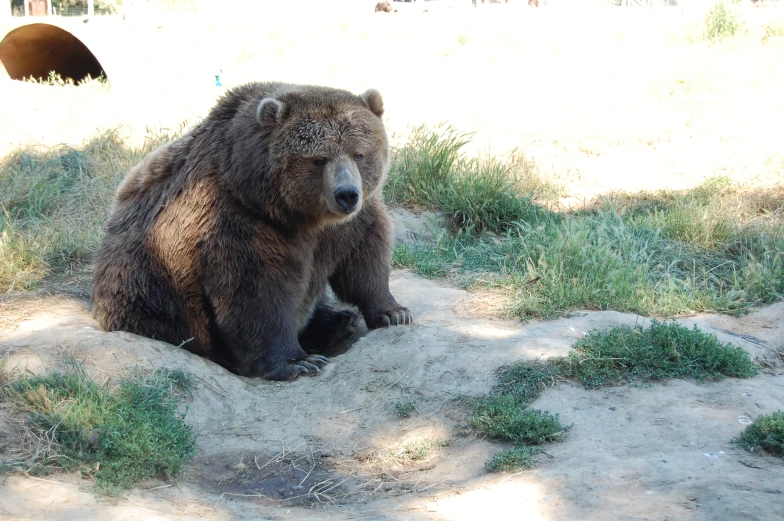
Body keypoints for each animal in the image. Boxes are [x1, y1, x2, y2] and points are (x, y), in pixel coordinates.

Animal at [90, 82, 410, 382]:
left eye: (359, 154)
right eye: (319, 159)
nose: (346, 195)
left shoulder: (350, 223)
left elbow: (365, 258)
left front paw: (393, 312)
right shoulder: (239, 224)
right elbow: (256, 295)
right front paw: (299, 362)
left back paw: (339, 320)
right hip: (150, 286)